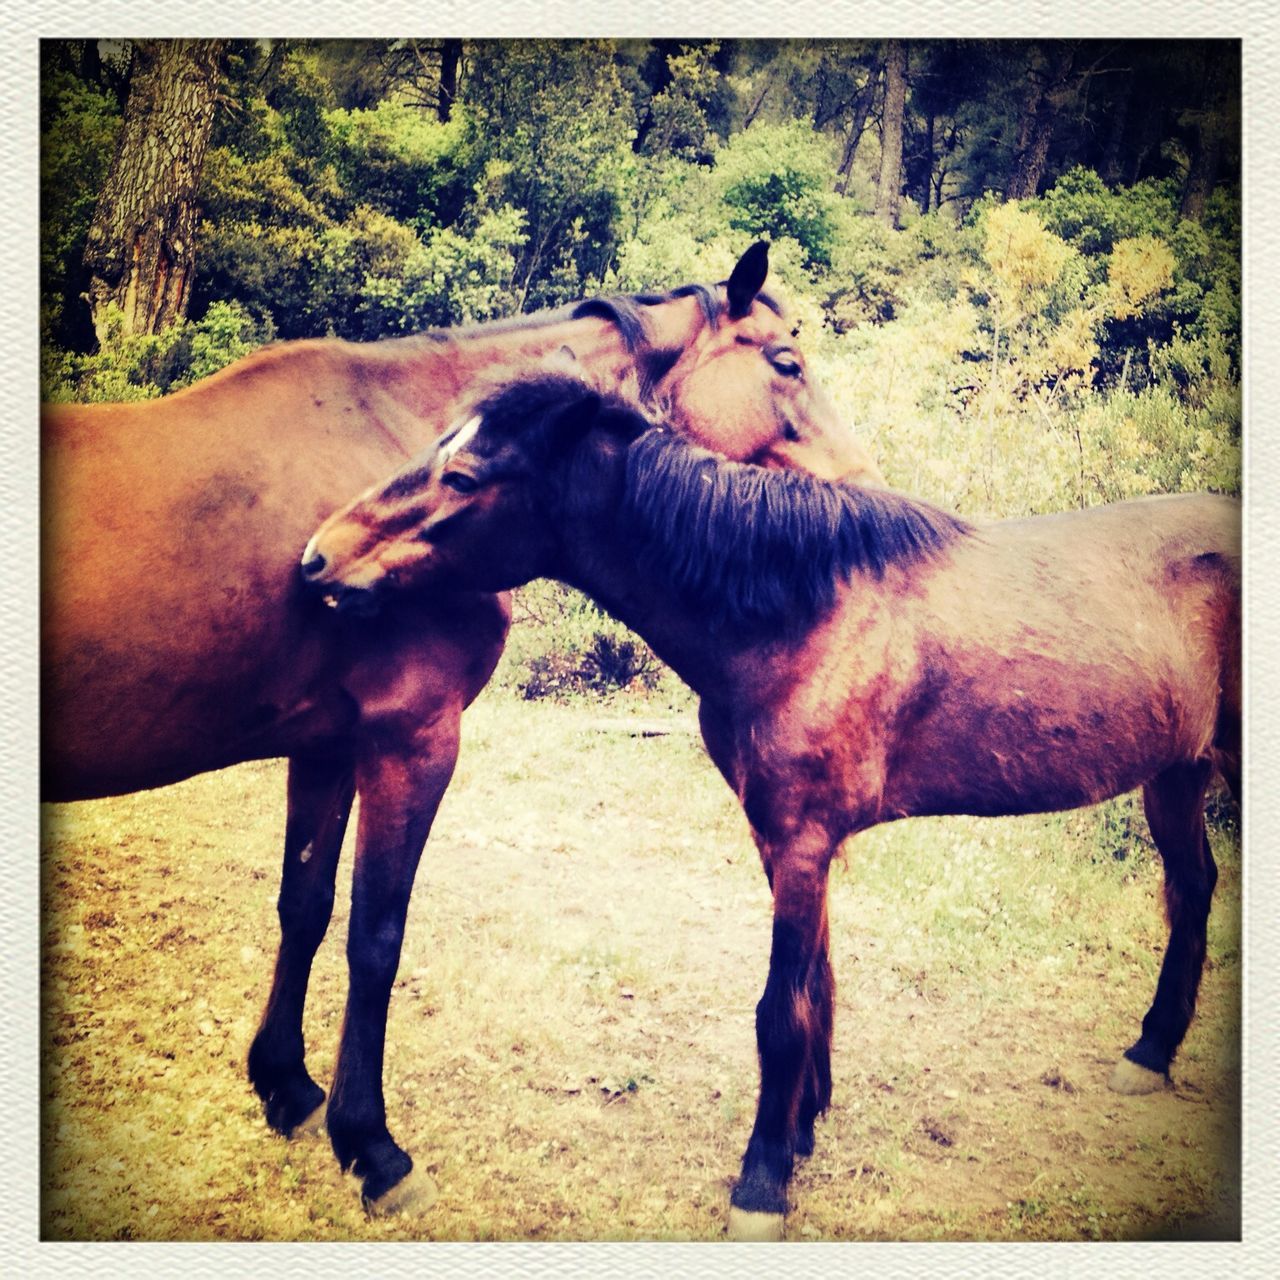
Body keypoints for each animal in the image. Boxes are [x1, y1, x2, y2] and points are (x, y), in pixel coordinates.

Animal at [37, 241, 880, 1208]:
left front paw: (286, 1084)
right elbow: (376, 937)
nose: (867, 491)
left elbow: (305, 907)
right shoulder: (413, 739)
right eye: (787, 362)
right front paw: (371, 1145)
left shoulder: (327, 745)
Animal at [299, 373, 1239, 1239]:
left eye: (464, 477)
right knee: (1192, 888)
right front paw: (800, 1133)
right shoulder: (779, 839)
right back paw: (1151, 1051)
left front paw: (761, 1181)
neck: (796, 612)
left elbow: (780, 1011)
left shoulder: (802, 842)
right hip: (1176, 774)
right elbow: (815, 983)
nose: (316, 560)